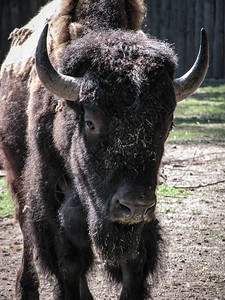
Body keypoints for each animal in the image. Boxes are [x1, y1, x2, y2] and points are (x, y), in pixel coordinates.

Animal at [0, 0, 208, 300]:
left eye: (168, 125)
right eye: (90, 122)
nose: (134, 206)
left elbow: (134, 262)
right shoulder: (50, 199)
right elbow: (68, 263)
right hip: (17, 176)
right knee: (27, 231)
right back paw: (26, 290)